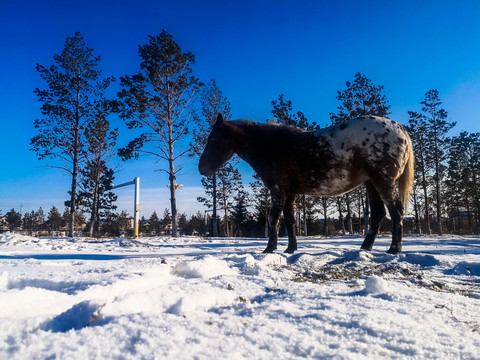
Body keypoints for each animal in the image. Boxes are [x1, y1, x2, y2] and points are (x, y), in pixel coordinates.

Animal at [197, 114, 414, 255]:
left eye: (213, 139)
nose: (201, 169)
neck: (271, 145)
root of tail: (400, 129)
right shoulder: (290, 193)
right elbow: (289, 220)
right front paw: (290, 249)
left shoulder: (278, 190)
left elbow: (274, 219)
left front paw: (269, 248)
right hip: (372, 183)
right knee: (378, 214)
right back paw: (365, 248)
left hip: (383, 181)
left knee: (396, 212)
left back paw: (394, 249)